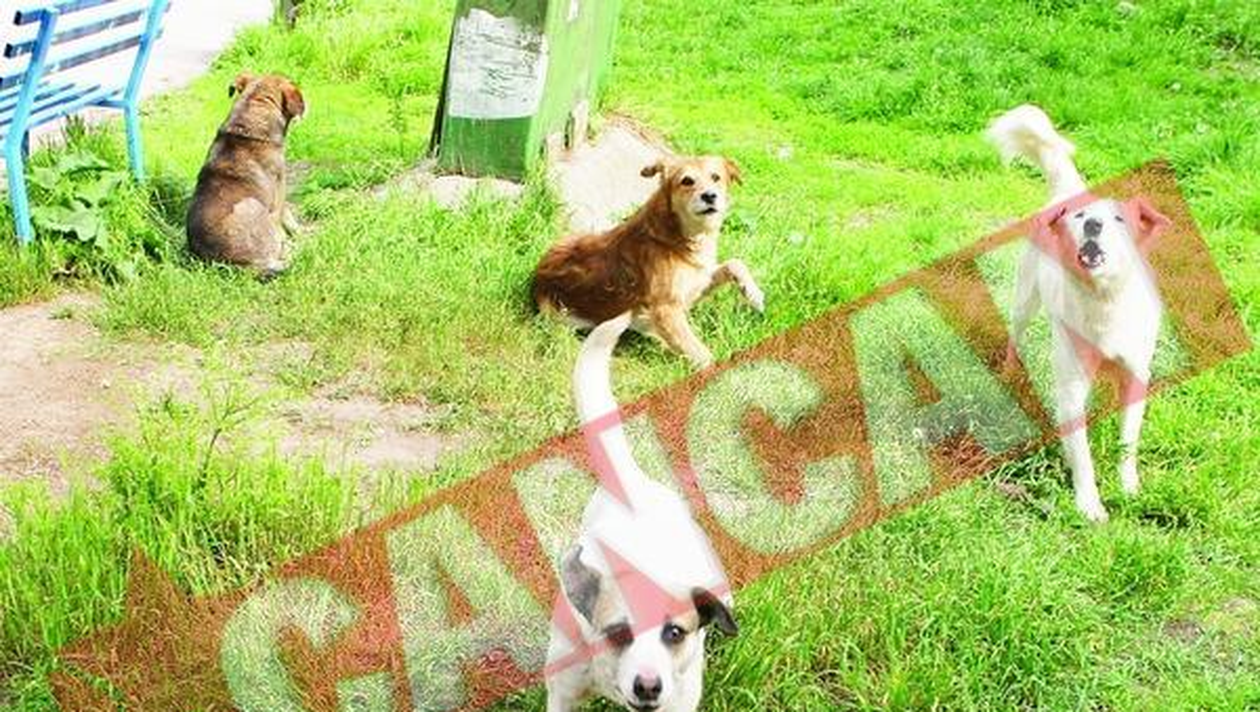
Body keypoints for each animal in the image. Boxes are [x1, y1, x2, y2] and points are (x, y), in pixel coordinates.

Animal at [532, 155, 764, 368]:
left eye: (716, 177)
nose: (709, 196)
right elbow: (704, 356)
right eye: (687, 181)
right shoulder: (666, 309)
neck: (676, 234)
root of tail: (537, 277)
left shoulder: (697, 284)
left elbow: (735, 263)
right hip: (564, 317)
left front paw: (753, 294)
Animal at [988, 105, 1170, 522]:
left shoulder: (1136, 374)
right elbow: (1082, 456)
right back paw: (1009, 369)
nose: (1092, 223)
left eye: (1120, 219)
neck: (1103, 301)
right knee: (1016, 333)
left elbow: (1128, 440)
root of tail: (1068, 190)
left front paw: (1129, 488)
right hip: (1025, 299)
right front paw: (1090, 507)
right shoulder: (1070, 389)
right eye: (1080, 217)